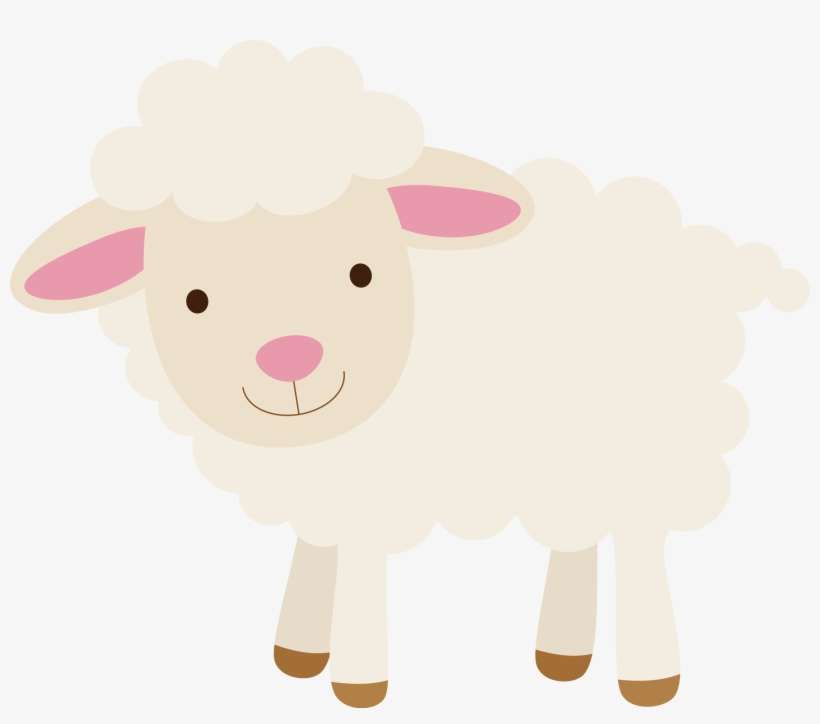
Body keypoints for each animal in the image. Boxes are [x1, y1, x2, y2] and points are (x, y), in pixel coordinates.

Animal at [10, 41, 808, 709]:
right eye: (195, 299)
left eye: (362, 274)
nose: (290, 356)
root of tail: (720, 258)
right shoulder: (327, 489)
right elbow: (314, 557)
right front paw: (298, 654)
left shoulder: (372, 494)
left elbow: (359, 575)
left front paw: (358, 686)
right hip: (573, 453)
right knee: (579, 537)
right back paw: (560, 658)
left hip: (656, 450)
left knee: (641, 550)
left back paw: (646, 681)